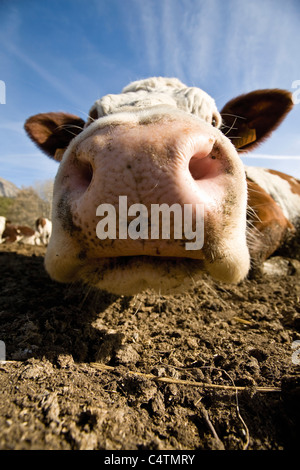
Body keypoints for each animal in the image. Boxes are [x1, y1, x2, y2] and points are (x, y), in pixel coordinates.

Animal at [24, 79, 298, 296]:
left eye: (214, 120)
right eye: (92, 116)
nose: (141, 154)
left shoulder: (276, 216)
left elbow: (257, 265)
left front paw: (290, 264)